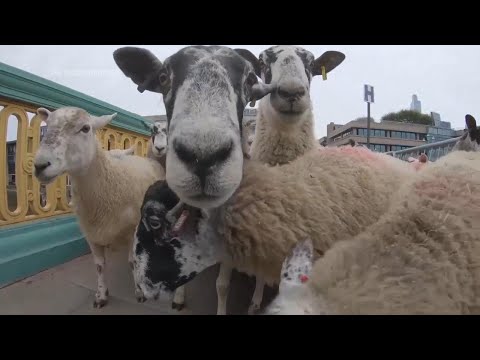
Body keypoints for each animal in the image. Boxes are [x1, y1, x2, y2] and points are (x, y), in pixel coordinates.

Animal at [33, 105, 165, 308]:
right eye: (47, 125)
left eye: (86, 128)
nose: (40, 165)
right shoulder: (91, 234)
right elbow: (100, 266)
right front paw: (102, 295)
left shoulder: (132, 230)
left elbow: (132, 262)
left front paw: (139, 292)